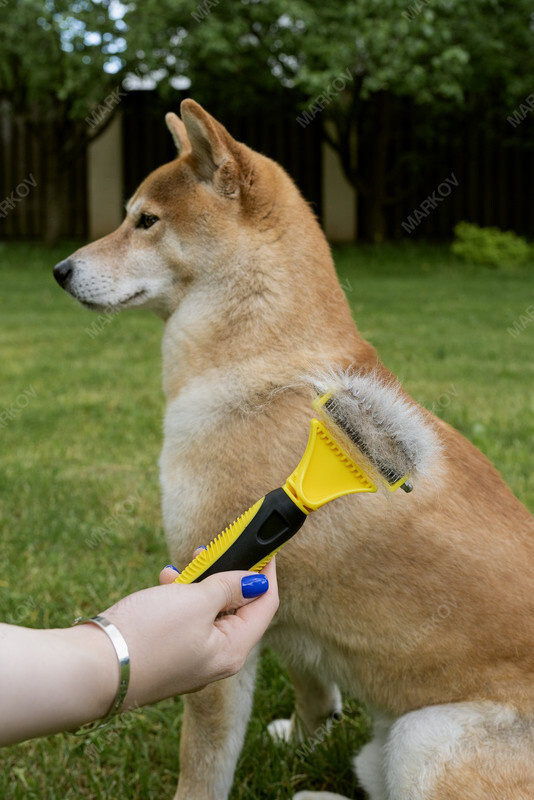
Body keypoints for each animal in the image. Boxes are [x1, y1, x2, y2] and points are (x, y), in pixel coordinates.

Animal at [54, 101, 534, 800]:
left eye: (145, 221)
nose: (60, 271)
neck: (264, 363)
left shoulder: (223, 626)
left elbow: (203, 765)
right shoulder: (276, 604)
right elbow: (311, 683)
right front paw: (308, 735)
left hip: (425, 739)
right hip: (394, 745)